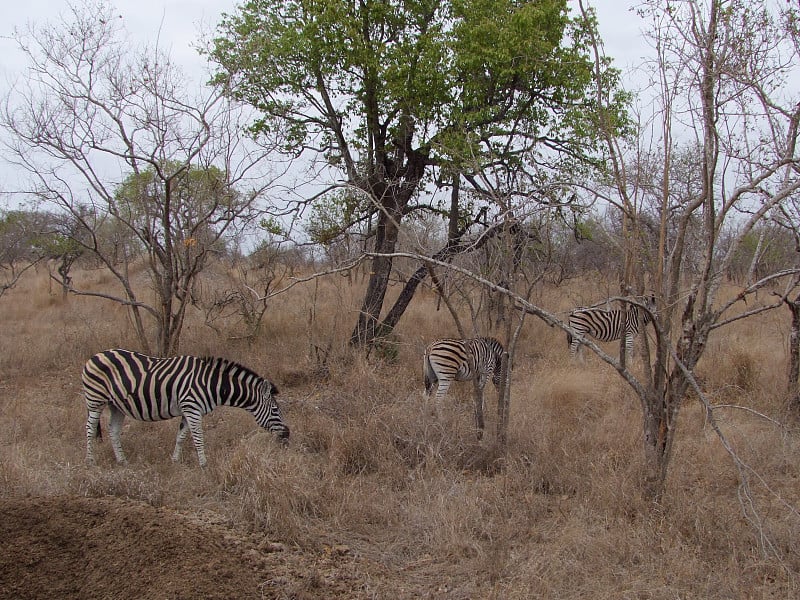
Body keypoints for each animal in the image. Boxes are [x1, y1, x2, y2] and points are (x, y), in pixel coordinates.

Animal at [83, 346, 290, 468]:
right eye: (275, 410)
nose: (287, 436)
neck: (211, 384)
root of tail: (94, 356)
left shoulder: (187, 410)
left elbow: (181, 436)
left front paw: (175, 461)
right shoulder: (192, 409)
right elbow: (198, 438)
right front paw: (204, 464)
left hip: (116, 405)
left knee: (113, 430)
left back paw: (122, 460)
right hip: (95, 400)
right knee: (90, 429)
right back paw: (91, 462)